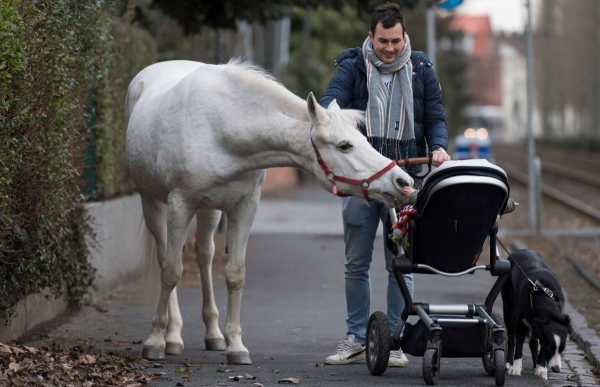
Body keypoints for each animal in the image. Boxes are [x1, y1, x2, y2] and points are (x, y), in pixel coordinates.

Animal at [122, 59, 412, 366]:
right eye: (345, 145)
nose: (402, 181)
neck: (221, 128)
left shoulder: (245, 207)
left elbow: (235, 274)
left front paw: (236, 347)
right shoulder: (180, 204)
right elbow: (171, 272)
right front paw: (154, 341)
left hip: (209, 210)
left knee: (204, 256)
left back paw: (212, 334)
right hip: (153, 203)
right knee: (166, 257)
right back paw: (173, 336)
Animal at [502, 250, 572, 380]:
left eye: (563, 349)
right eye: (551, 348)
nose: (556, 370)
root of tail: (519, 251)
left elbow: (540, 347)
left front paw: (541, 369)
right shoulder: (521, 322)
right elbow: (519, 346)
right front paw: (515, 369)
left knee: (533, 341)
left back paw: (536, 365)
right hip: (508, 307)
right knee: (511, 337)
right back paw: (508, 363)